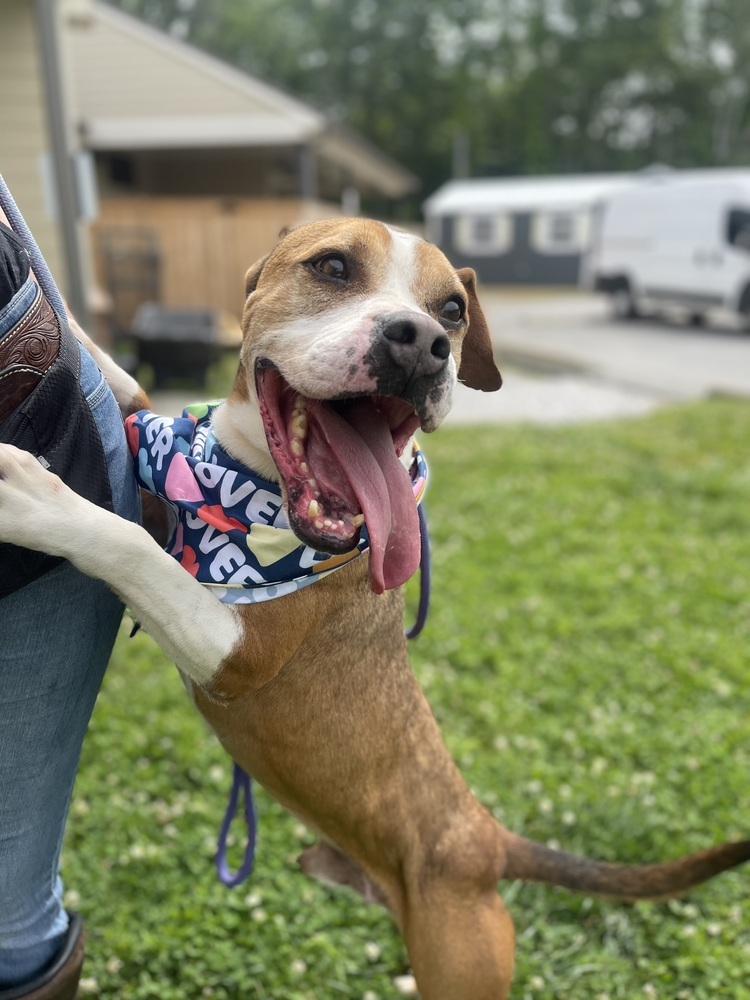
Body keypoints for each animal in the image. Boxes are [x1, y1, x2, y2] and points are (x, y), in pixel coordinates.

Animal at [1, 221, 750, 1000]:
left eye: (452, 309)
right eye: (332, 267)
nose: (423, 342)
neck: (240, 487)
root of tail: (486, 836)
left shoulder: (237, 654)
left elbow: (128, 548)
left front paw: (33, 497)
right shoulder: (155, 493)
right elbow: (126, 388)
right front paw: (70, 320)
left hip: (462, 960)